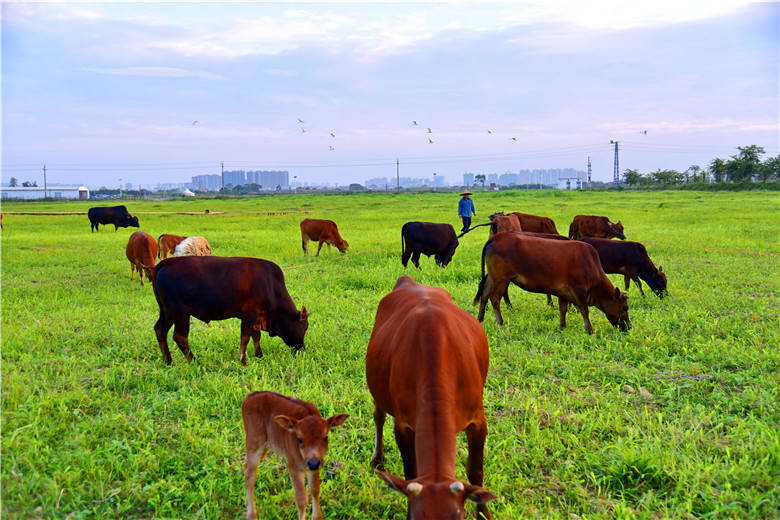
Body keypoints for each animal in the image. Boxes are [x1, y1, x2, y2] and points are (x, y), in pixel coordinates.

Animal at [151, 254, 310, 364]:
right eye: (305, 327)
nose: (302, 349)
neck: (271, 286)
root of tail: (165, 263)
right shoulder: (249, 314)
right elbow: (245, 338)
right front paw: (243, 360)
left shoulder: (256, 317)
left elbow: (256, 336)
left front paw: (259, 355)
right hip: (180, 313)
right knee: (180, 337)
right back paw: (194, 361)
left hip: (167, 311)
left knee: (160, 330)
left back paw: (168, 361)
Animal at [241, 392, 344, 520]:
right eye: (299, 439)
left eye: (325, 438)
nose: (313, 463)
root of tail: (248, 397)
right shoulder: (294, 466)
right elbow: (301, 500)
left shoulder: (314, 466)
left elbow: (315, 490)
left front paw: (317, 516)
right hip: (254, 443)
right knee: (250, 474)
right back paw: (252, 514)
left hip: (265, 446)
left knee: (246, 470)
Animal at [368, 274, 500, 516]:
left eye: (459, 516)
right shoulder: (403, 424)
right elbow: (411, 471)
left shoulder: (478, 419)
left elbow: (475, 473)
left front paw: (484, 514)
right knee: (378, 416)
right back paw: (377, 457)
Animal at [472, 233, 632, 334]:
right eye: (624, 307)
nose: (629, 327)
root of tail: (497, 237)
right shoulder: (579, 289)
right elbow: (584, 310)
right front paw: (590, 330)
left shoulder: (563, 292)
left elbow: (563, 309)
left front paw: (563, 326)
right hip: (501, 279)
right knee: (494, 299)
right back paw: (500, 322)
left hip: (493, 278)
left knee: (484, 295)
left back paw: (480, 319)